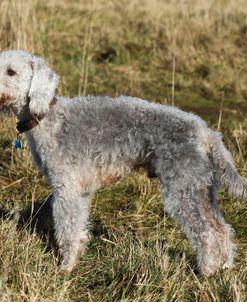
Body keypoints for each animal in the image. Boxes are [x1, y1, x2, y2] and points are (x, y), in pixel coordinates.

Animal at [0, 50, 246, 276]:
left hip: (183, 187)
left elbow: (67, 228)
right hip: (203, 187)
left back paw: (206, 271)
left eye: (11, 72)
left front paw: (66, 267)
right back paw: (225, 265)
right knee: (222, 228)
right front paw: (77, 256)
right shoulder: (80, 191)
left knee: (207, 232)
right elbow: (78, 226)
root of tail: (207, 133)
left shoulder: (65, 187)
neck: (46, 117)